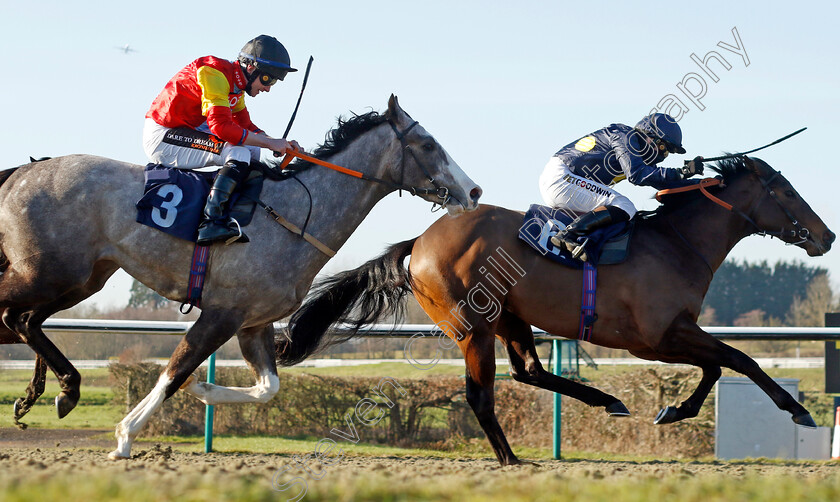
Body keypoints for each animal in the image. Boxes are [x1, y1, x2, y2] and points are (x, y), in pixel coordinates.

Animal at [0, 94, 482, 458]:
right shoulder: (222, 313)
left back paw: (56, 390)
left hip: (80, 278)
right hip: (48, 272)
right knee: (14, 316)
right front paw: (125, 436)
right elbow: (174, 369)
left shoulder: (254, 322)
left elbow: (268, 387)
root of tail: (24, 170)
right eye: (427, 144)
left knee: (24, 320)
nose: (473, 190)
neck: (295, 215)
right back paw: (56, 390)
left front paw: (202, 389)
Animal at [278, 158, 832, 466]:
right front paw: (797, 410)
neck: (676, 243)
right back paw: (510, 457)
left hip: (509, 318)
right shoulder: (656, 337)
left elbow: (720, 365)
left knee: (529, 371)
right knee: (481, 393)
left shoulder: (669, 335)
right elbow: (738, 360)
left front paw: (675, 409)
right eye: (786, 191)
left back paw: (607, 400)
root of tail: (418, 243)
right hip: (472, 325)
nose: (826, 236)